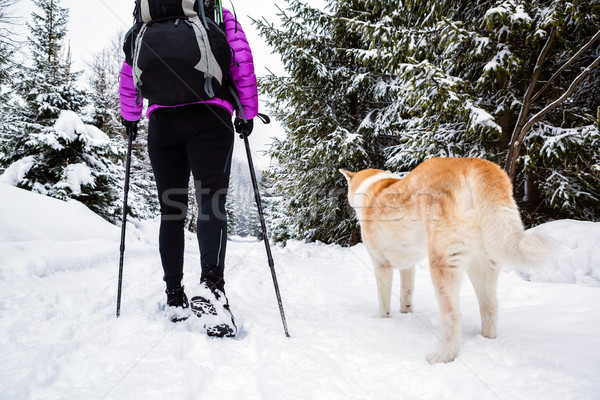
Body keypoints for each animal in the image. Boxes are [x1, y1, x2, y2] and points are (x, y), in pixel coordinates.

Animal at [340, 158, 552, 364]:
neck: (375, 187)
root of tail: (473, 163)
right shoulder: (408, 265)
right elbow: (406, 294)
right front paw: (405, 314)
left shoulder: (381, 264)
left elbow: (383, 303)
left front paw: (382, 321)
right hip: (482, 264)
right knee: (490, 306)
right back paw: (486, 340)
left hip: (443, 263)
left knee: (453, 315)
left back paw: (442, 357)